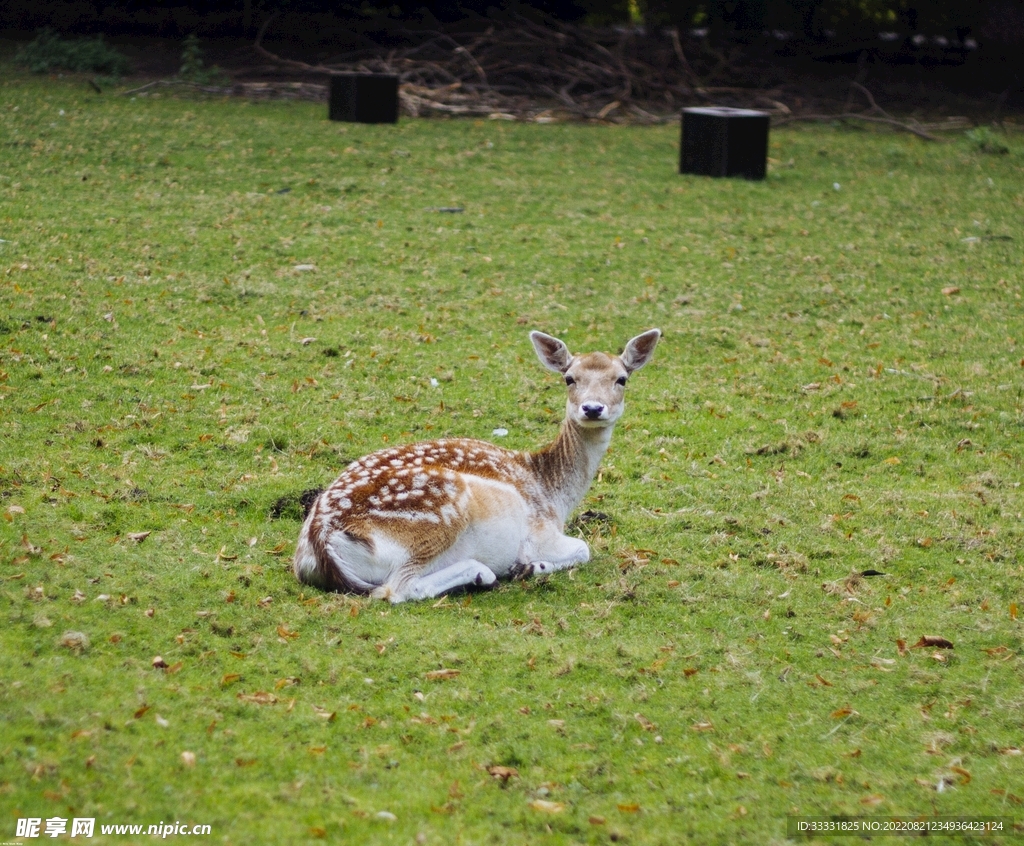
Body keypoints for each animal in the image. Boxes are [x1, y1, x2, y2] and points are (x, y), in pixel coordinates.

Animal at [293, 329, 661, 603]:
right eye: (569, 378)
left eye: (622, 379)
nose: (593, 408)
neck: (554, 495)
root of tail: (321, 544)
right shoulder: (539, 532)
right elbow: (584, 549)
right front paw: (529, 567)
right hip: (441, 513)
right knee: (396, 589)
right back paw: (484, 573)